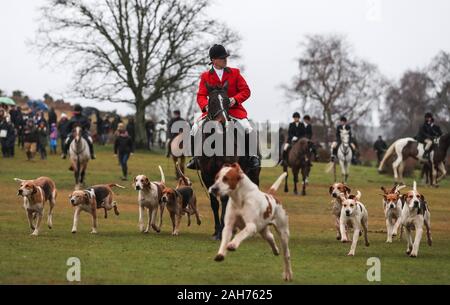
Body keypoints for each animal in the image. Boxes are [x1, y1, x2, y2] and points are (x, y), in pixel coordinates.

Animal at [196, 82, 260, 239]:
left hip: (254, 174)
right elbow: (214, 202)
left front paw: (222, 230)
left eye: (226, 101)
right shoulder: (207, 175)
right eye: (212, 101)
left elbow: (224, 199)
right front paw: (217, 230)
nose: (223, 121)